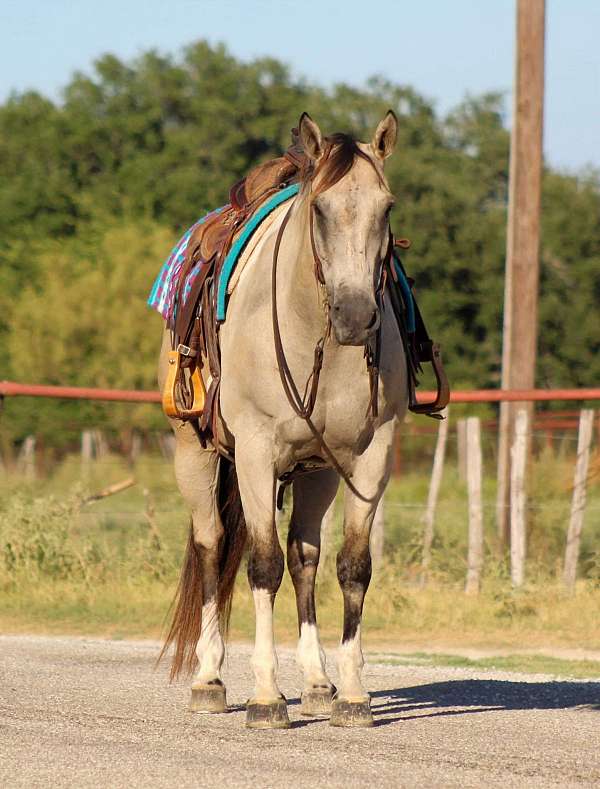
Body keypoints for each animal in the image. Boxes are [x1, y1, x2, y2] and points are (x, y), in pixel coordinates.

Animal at [155, 111, 446, 728]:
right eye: (320, 209)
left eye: (387, 207)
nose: (357, 315)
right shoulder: (256, 451)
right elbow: (261, 565)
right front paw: (266, 697)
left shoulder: (370, 457)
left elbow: (352, 565)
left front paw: (352, 694)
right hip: (195, 453)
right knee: (213, 545)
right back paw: (209, 679)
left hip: (319, 472)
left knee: (304, 556)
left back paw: (316, 683)